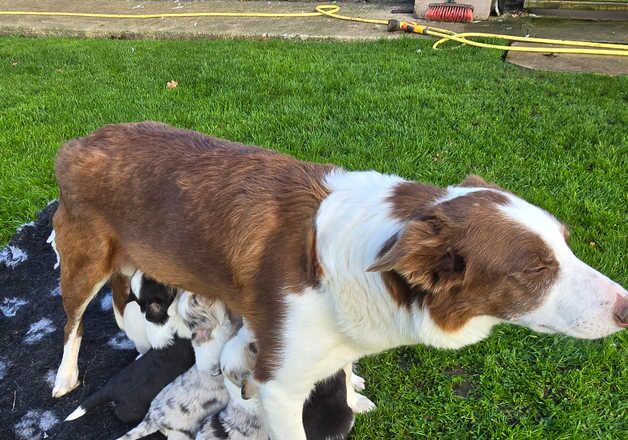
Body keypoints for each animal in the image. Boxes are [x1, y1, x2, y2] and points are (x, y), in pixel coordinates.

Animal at [51, 122, 624, 438]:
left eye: (567, 244)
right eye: (536, 269)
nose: (625, 307)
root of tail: (78, 142)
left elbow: (342, 368)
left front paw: (351, 388)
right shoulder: (278, 388)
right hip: (82, 260)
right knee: (74, 320)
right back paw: (65, 376)